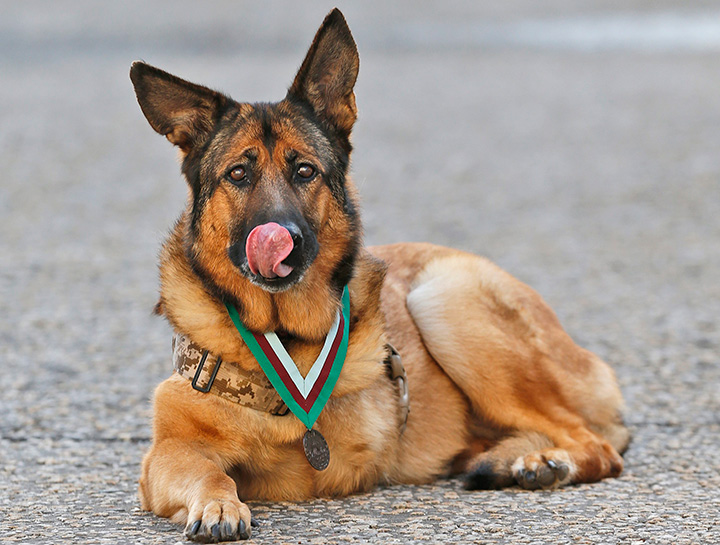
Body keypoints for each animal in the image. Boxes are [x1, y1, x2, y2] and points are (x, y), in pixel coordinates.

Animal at [131, 7, 632, 540]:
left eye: (305, 171)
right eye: (238, 175)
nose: (283, 238)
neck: (287, 337)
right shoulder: (166, 457)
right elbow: (210, 472)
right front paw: (218, 505)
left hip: (444, 299)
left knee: (598, 444)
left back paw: (545, 463)